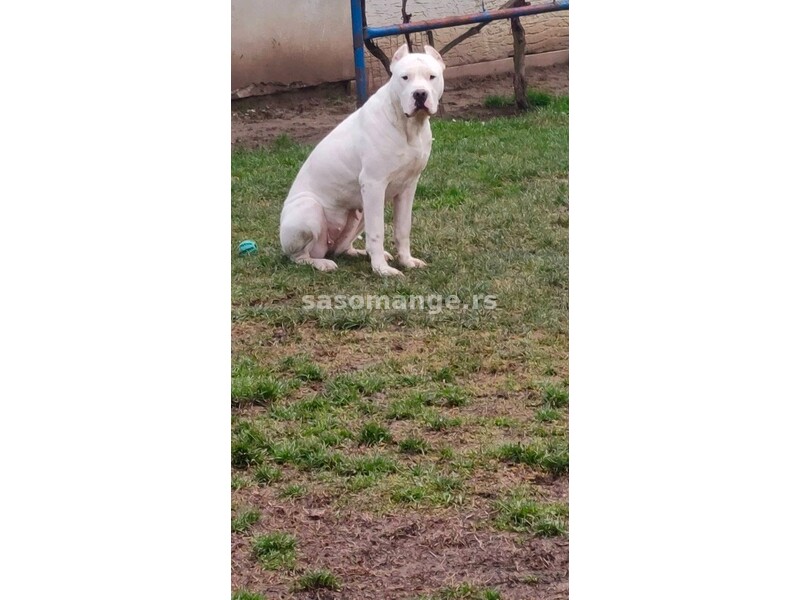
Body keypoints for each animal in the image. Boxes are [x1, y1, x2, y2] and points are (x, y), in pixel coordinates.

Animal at [280, 45, 444, 278]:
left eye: (432, 76)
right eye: (404, 77)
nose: (420, 94)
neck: (409, 127)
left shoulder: (408, 186)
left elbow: (403, 228)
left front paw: (406, 261)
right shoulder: (374, 184)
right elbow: (377, 233)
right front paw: (381, 270)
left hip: (359, 214)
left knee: (341, 247)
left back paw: (357, 252)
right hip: (308, 209)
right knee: (299, 257)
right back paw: (322, 263)